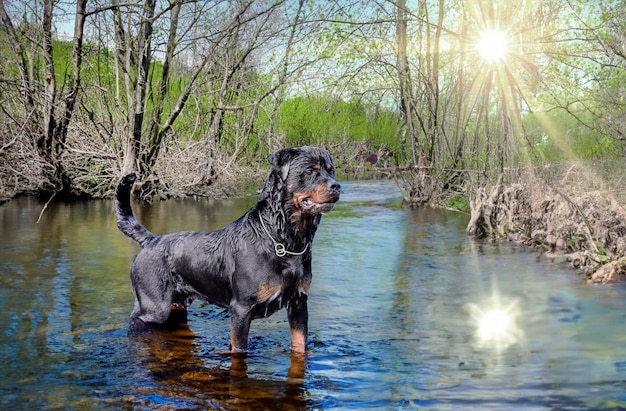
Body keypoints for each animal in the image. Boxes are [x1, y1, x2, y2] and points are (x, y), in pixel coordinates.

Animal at [117, 146, 342, 352]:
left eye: (331, 171)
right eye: (310, 171)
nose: (337, 186)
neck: (285, 240)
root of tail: (152, 240)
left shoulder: (298, 303)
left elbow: (300, 344)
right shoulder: (241, 310)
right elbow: (239, 350)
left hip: (177, 305)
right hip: (153, 306)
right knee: (136, 319)